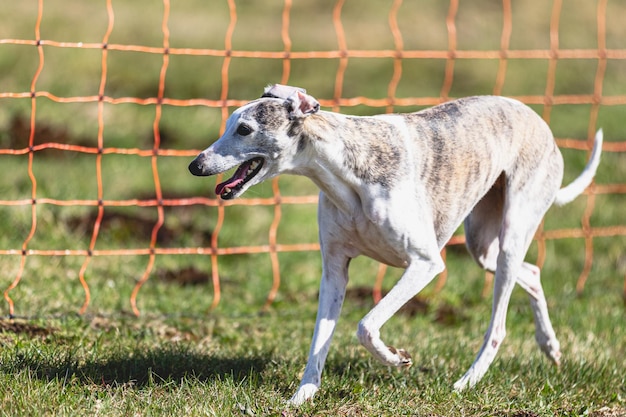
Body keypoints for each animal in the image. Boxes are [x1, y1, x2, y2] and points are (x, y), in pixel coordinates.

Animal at [189, 83, 600, 404]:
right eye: (229, 125)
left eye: (244, 129)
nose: (196, 165)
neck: (345, 169)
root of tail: (535, 117)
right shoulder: (334, 270)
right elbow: (320, 340)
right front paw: (302, 396)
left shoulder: (425, 263)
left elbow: (366, 325)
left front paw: (394, 358)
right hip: (483, 245)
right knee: (531, 271)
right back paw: (551, 346)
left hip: (513, 228)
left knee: (499, 323)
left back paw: (468, 381)